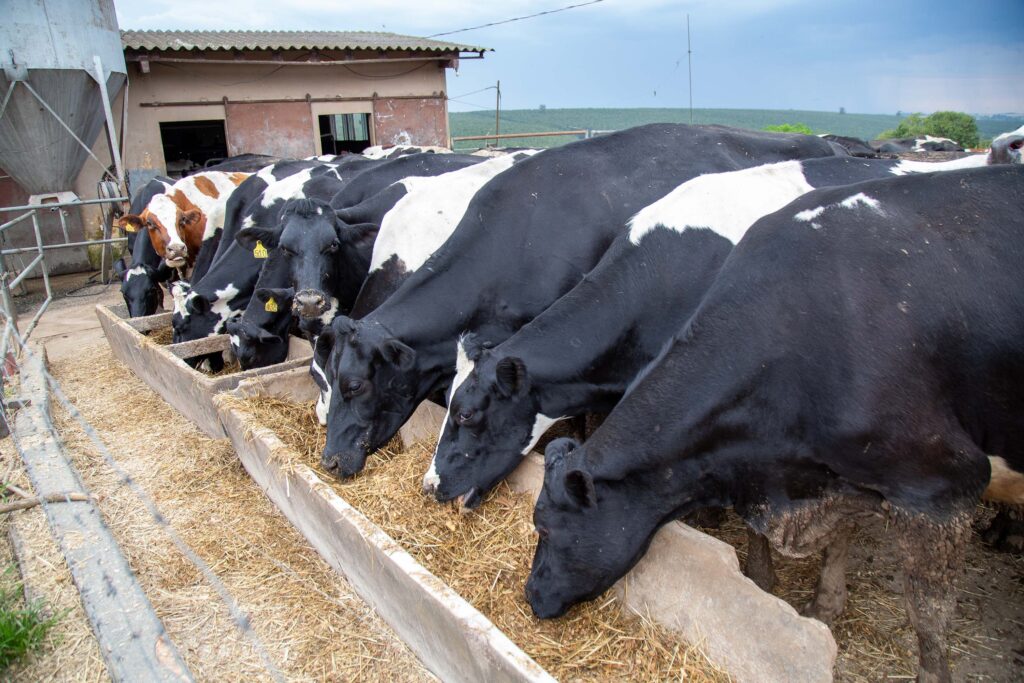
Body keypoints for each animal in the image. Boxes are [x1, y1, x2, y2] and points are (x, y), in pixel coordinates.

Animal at [528, 165, 1024, 683]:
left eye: (545, 528)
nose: (531, 597)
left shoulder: (943, 485)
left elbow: (928, 613)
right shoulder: (822, 473)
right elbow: (819, 538)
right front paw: (809, 602)